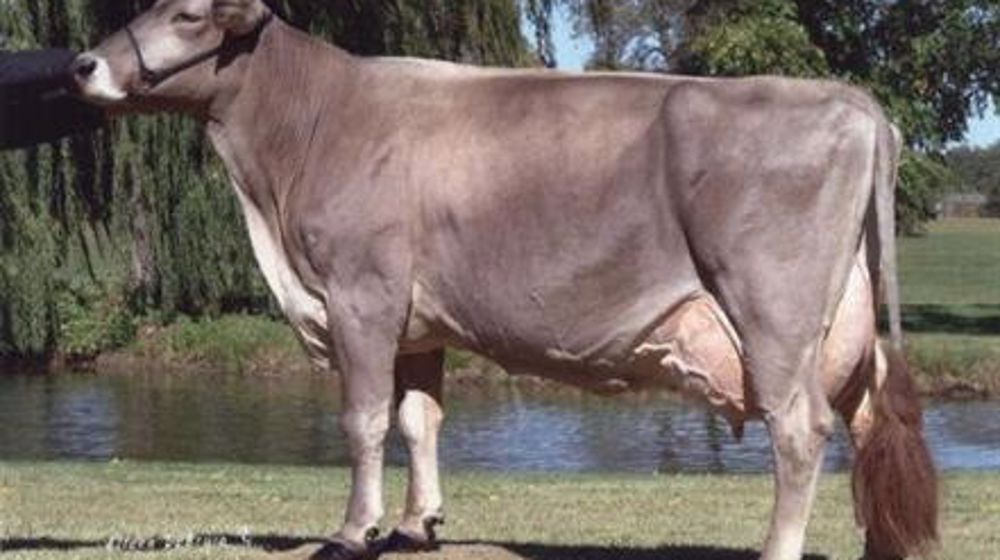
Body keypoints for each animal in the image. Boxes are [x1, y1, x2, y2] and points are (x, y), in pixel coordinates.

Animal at [71, 1, 938, 559]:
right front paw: (415, 526)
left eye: (189, 15)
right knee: (866, 425)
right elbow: (420, 418)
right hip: (844, 326)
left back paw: (775, 551)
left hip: (773, 313)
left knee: (801, 429)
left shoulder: (360, 296)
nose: (83, 64)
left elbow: (364, 421)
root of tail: (853, 101)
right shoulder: (416, 322)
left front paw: (352, 532)